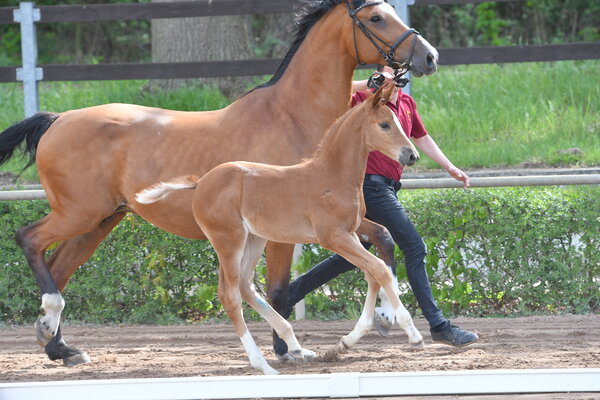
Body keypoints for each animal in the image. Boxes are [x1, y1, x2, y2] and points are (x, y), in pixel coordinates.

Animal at [136, 83, 423, 375]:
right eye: (385, 124)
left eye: (400, 122)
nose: (412, 155)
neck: (332, 176)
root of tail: (201, 182)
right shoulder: (333, 237)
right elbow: (379, 269)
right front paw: (412, 333)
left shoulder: (351, 233)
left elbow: (373, 272)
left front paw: (350, 338)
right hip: (229, 240)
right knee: (230, 296)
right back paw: (263, 365)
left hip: (253, 239)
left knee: (245, 285)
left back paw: (295, 346)